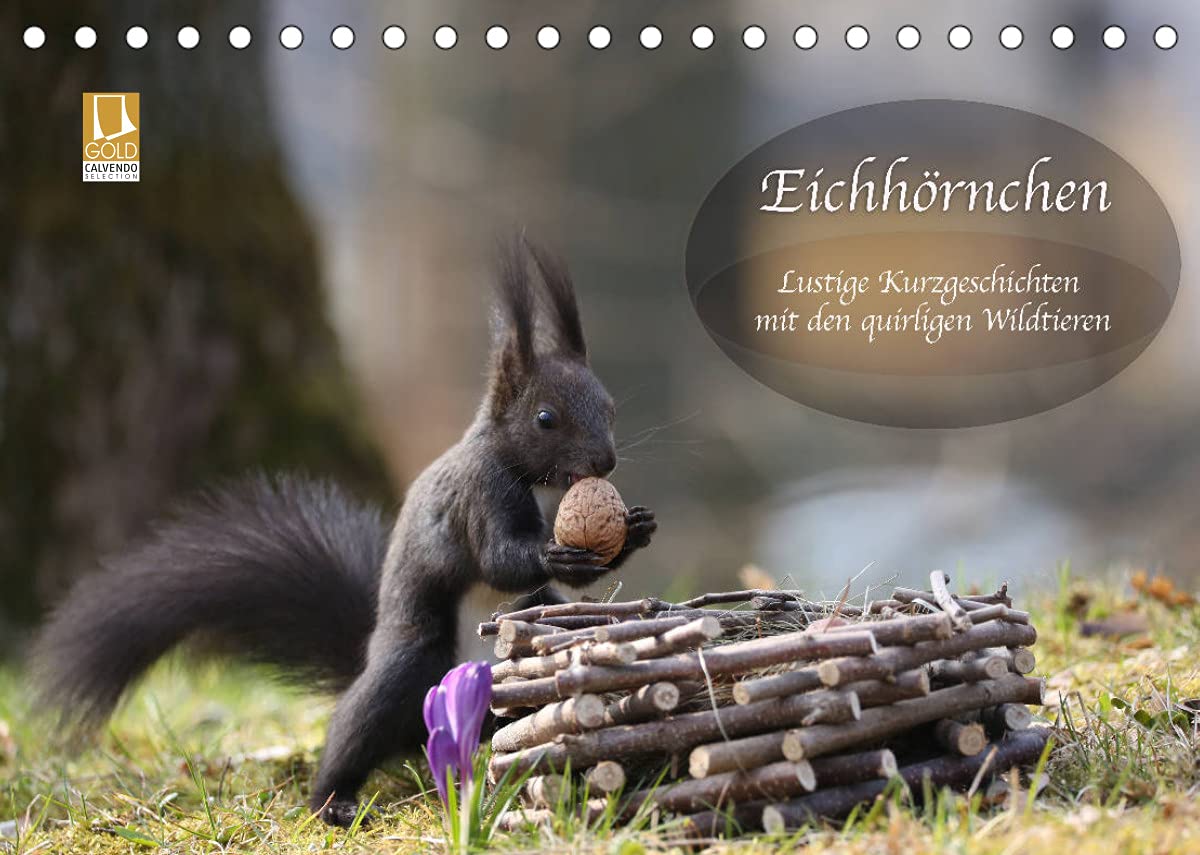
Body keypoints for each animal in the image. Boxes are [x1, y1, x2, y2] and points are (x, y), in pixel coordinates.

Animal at [30, 236, 657, 826]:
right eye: (545, 418)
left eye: (610, 408)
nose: (605, 462)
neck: (512, 463)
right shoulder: (477, 493)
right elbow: (499, 559)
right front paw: (561, 555)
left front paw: (633, 531)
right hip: (408, 664)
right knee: (356, 726)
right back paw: (332, 800)